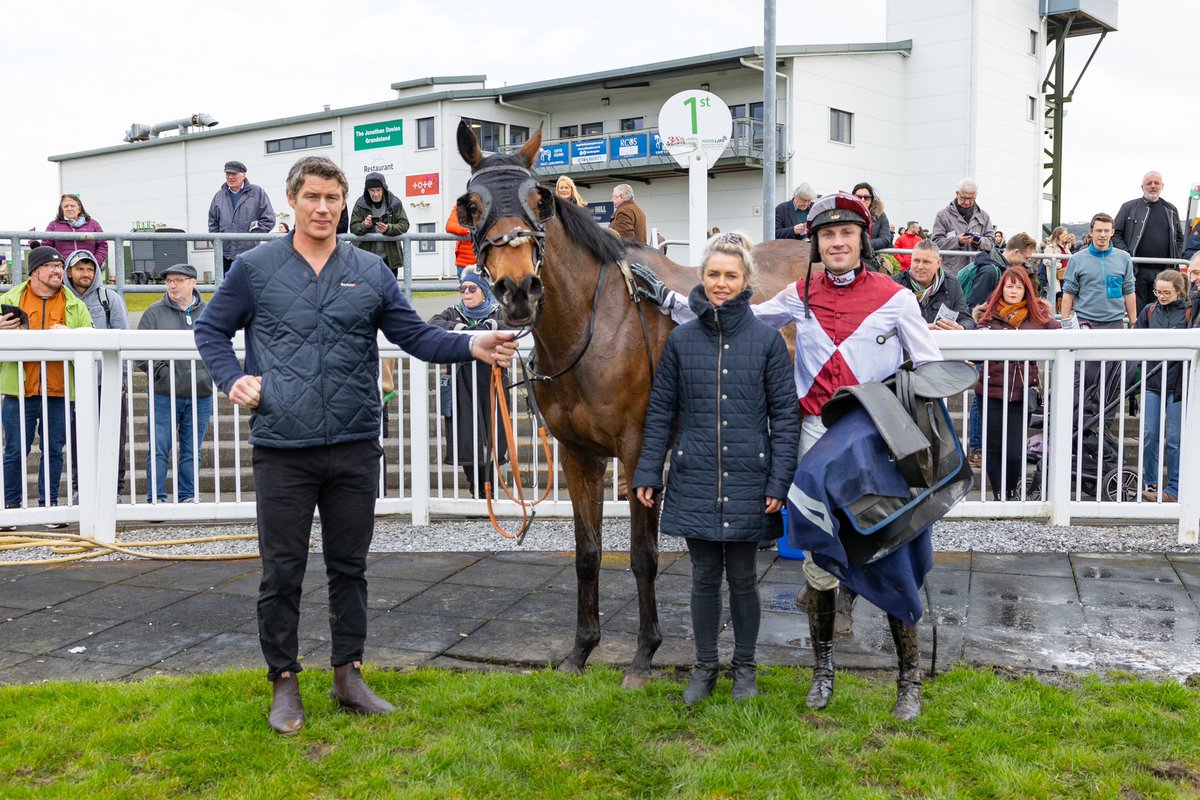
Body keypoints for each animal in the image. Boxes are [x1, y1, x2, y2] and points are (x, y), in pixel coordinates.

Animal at [453, 120, 811, 690]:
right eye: (470, 204)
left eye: (540, 199)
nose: (518, 289)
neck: (594, 324)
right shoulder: (578, 454)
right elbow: (588, 553)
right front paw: (581, 650)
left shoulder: (639, 448)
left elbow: (643, 556)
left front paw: (644, 655)